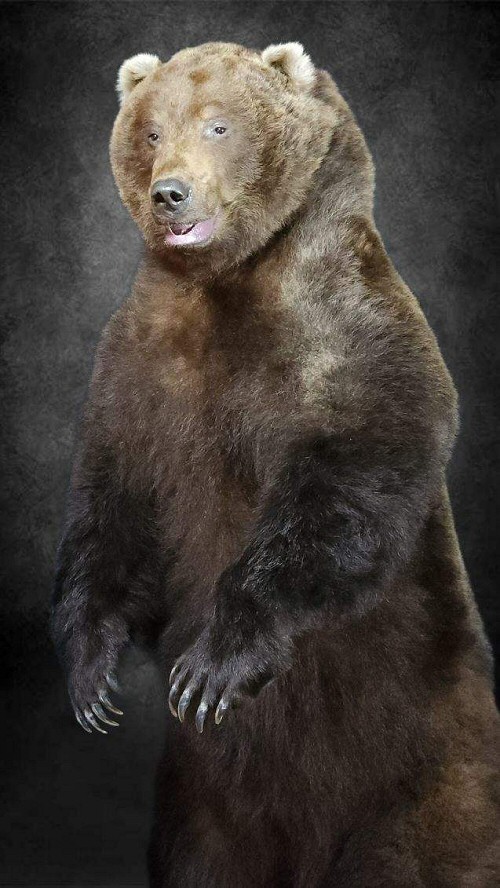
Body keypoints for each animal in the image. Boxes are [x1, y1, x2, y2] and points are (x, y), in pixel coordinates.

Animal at [52, 40, 500, 887]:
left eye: (219, 124)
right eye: (151, 131)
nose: (170, 194)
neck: (224, 281)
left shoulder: (343, 328)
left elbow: (345, 486)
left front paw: (211, 669)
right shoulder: (137, 367)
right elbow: (116, 505)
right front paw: (92, 673)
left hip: (427, 756)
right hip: (204, 799)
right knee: (201, 856)